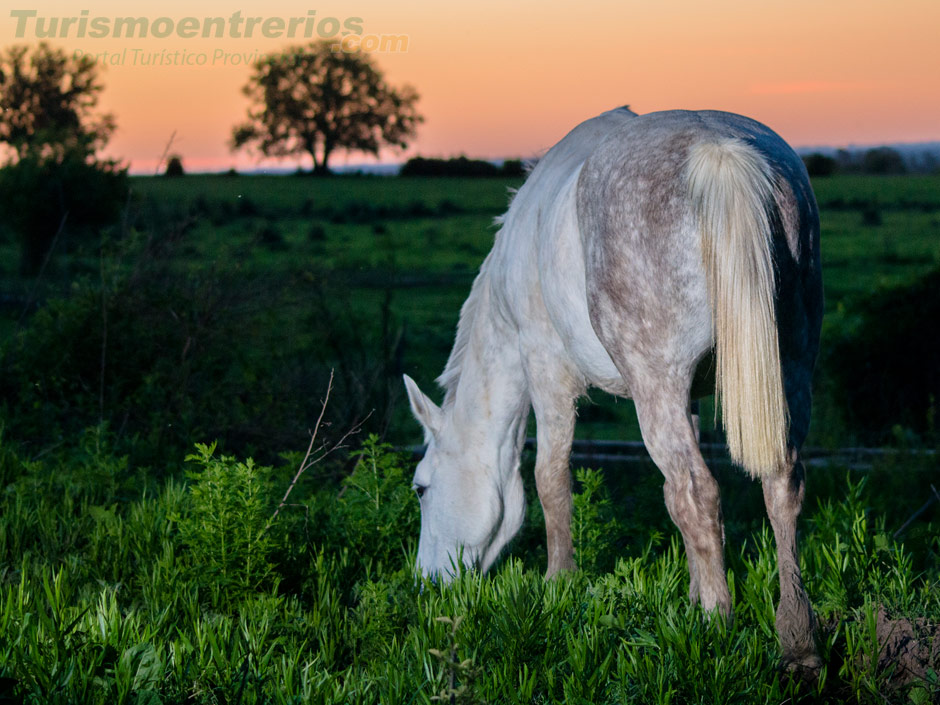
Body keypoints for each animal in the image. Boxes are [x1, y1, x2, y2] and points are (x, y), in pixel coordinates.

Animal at [404, 106, 824, 672]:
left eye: (421, 488)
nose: (426, 583)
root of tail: (718, 150)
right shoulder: (690, 398)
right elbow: (675, 504)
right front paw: (691, 592)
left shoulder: (546, 371)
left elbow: (551, 481)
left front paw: (558, 588)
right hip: (789, 368)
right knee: (780, 485)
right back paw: (797, 641)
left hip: (655, 383)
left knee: (697, 493)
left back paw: (714, 628)